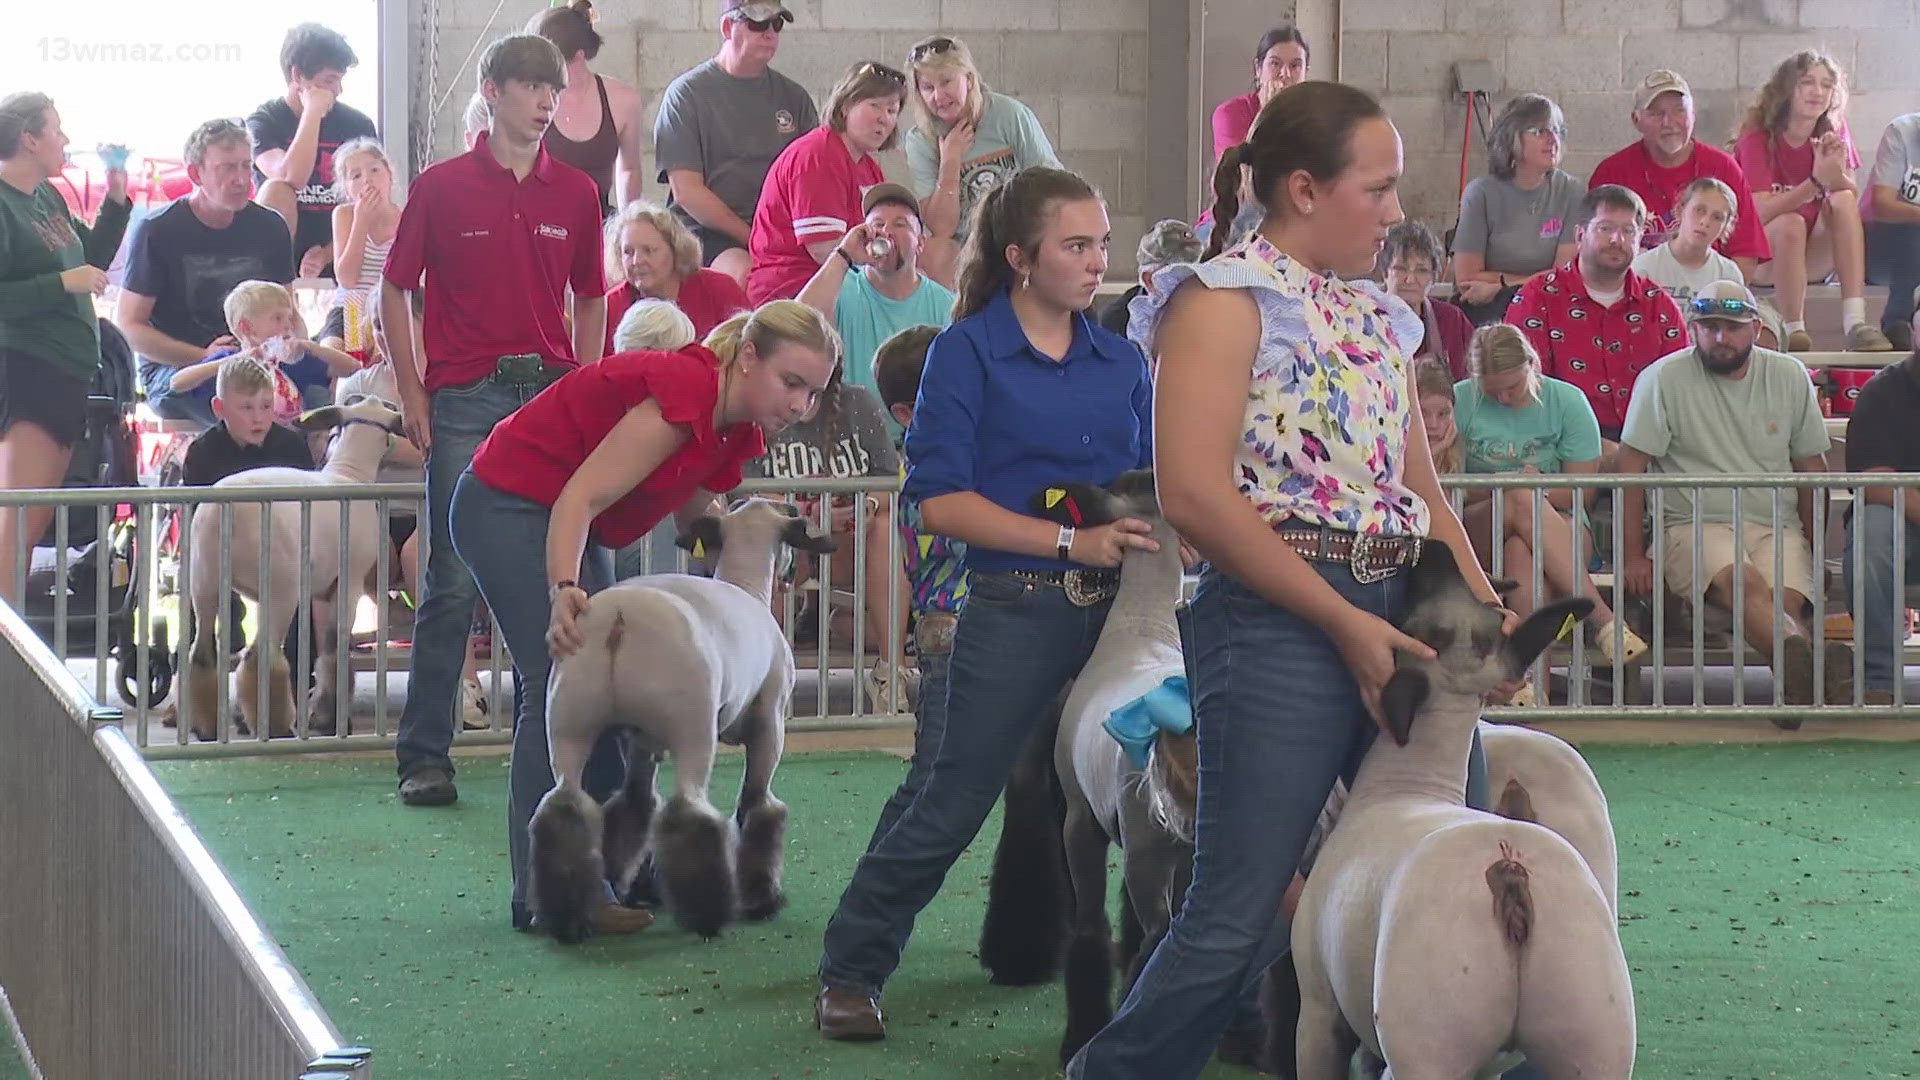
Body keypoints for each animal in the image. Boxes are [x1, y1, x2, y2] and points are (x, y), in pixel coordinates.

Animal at [1290, 541, 1635, 1076]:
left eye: (1421, 631)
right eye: (1491, 610)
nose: (1435, 546)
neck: (1411, 783)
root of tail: (1509, 870)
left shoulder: (1319, 1010)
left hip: (1431, 1039)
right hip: (1596, 1033)